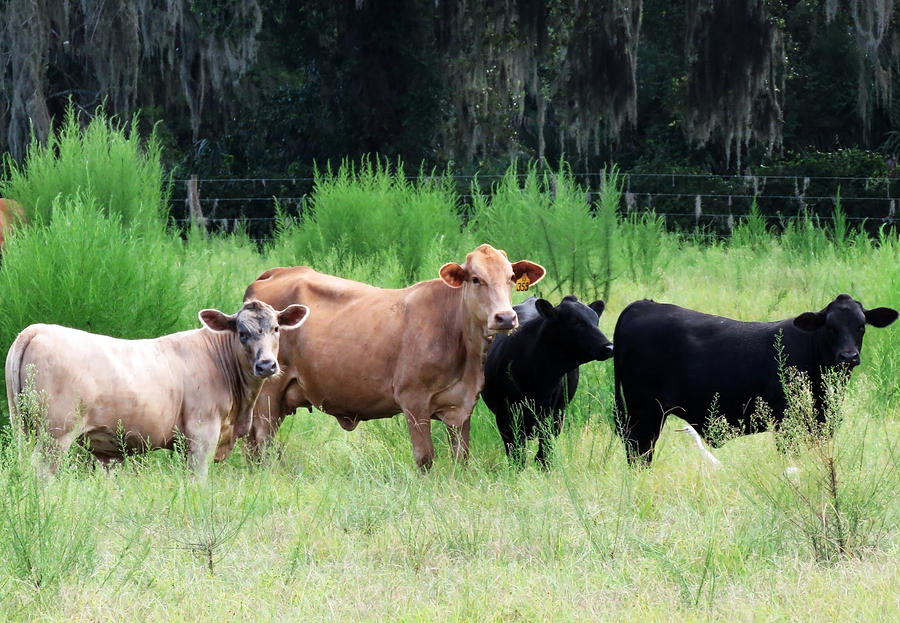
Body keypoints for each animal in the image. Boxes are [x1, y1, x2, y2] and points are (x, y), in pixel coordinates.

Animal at [5, 300, 310, 476]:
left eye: (276, 329)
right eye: (242, 333)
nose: (266, 365)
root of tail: (36, 329)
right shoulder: (202, 433)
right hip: (55, 434)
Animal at [239, 244, 544, 468]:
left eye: (510, 278)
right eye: (476, 279)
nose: (505, 317)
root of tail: (278, 273)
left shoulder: (462, 405)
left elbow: (462, 457)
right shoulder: (414, 399)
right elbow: (425, 457)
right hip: (269, 391)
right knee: (262, 439)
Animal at [482, 294, 616, 466]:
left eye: (596, 320)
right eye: (576, 322)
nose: (609, 347)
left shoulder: (557, 415)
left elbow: (543, 454)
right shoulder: (505, 417)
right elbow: (517, 457)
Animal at [616, 294, 896, 466]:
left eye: (861, 325)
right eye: (830, 327)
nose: (848, 356)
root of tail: (643, 304)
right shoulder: (787, 424)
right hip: (644, 412)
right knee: (639, 451)